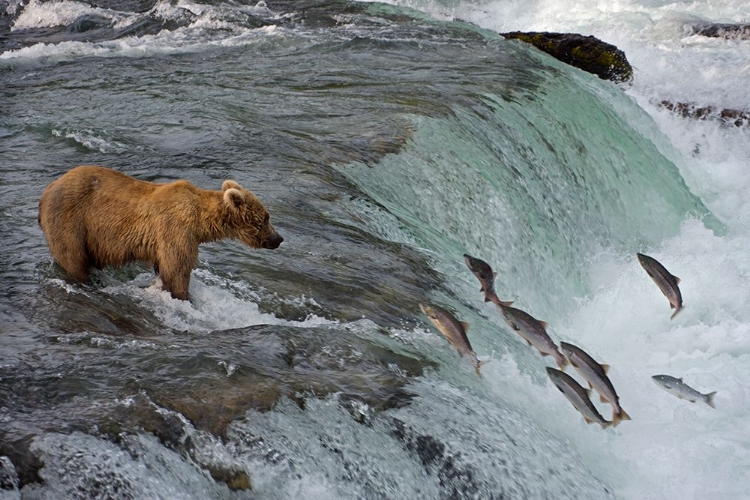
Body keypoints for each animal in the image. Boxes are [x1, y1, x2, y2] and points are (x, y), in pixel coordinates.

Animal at [36, 165, 282, 300]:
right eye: (266, 218)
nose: (279, 239)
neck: (200, 222)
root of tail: (47, 189)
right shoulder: (176, 230)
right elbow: (177, 270)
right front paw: (184, 297)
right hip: (71, 220)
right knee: (72, 258)